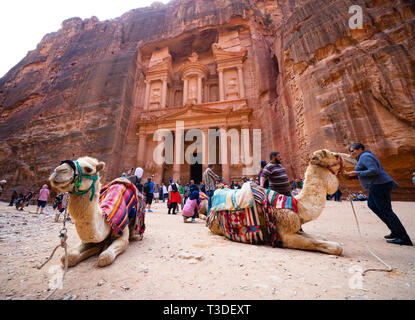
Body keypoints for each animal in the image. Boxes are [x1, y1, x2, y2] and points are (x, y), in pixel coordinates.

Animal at [206, 149, 356, 256]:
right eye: (335, 155)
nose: (353, 158)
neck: (298, 206)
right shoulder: (285, 235)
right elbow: (333, 247)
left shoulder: (295, 227)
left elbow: (320, 237)